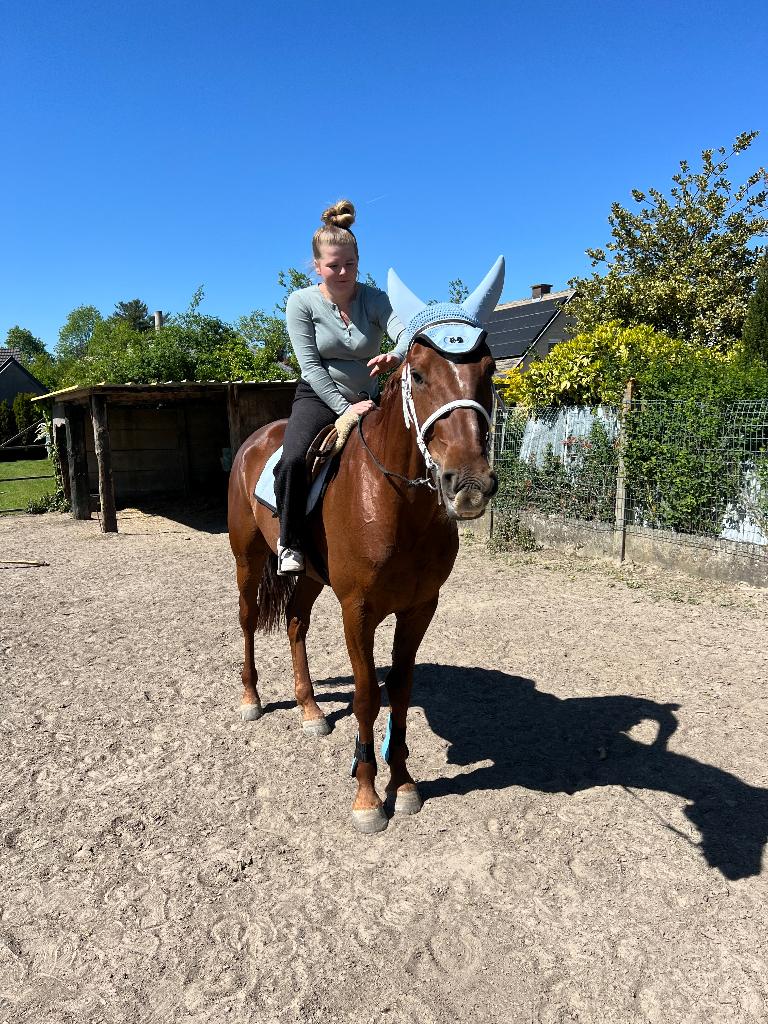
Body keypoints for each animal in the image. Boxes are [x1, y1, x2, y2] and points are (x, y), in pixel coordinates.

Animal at [228, 257, 505, 832]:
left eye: (489, 371)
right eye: (418, 374)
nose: (468, 483)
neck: (396, 503)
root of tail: (255, 439)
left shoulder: (419, 607)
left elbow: (398, 691)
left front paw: (402, 782)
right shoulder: (357, 609)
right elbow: (364, 698)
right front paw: (366, 796)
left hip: (310, 575)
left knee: (295, 623)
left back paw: (310, 709)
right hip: (247, 557)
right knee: (247, 621)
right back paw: (251, 698)